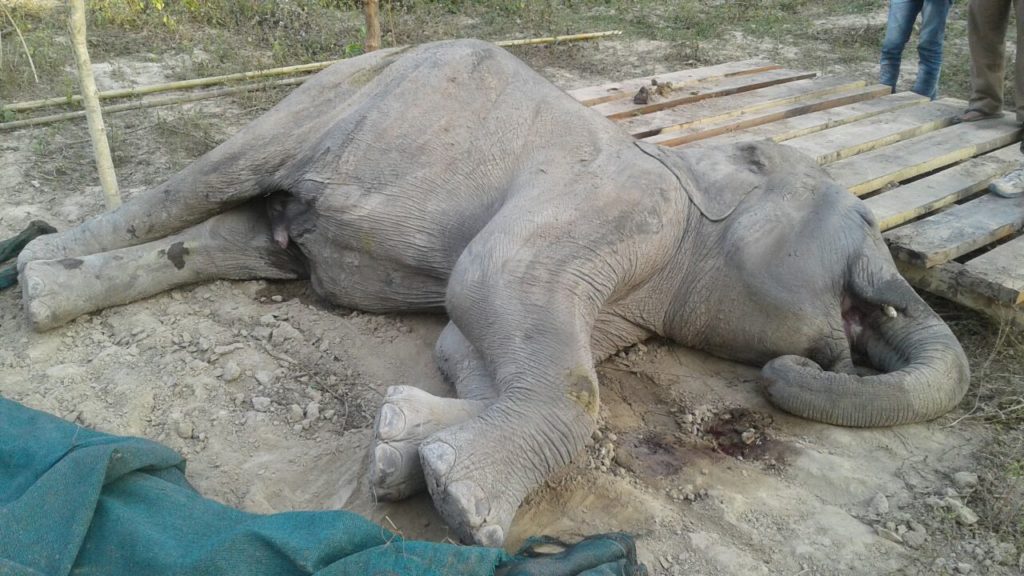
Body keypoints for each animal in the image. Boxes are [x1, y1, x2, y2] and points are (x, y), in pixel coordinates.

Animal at [16, 39, 970, 541]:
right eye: (867, 224)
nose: (802, 368)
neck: (684, 165)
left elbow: (465, 341)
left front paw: (402, 445)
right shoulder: (626, 204)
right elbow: (494, 288)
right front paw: (464, 507)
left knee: (236, 242)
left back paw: (53, 286)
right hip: (331, 98)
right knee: (203, 184)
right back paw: (32, 276)